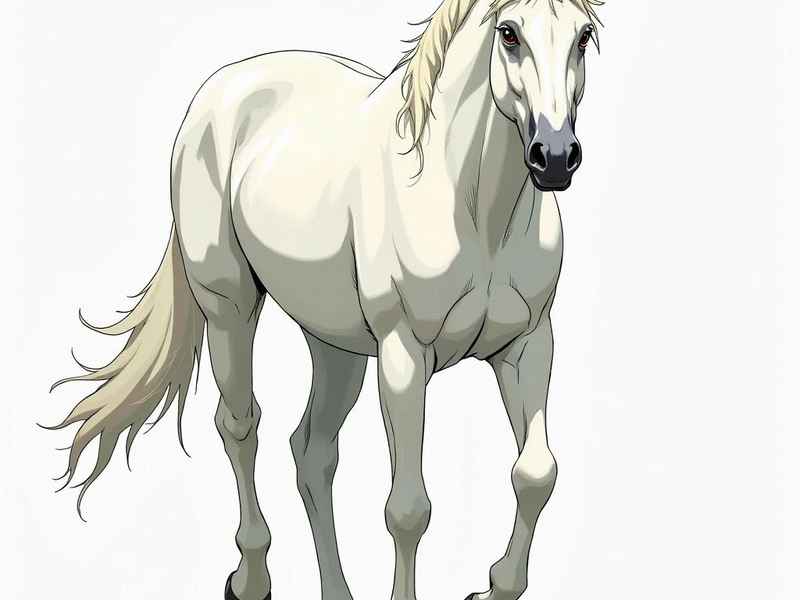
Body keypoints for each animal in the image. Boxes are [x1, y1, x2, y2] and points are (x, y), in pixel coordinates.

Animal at [48, 1, 603, 599]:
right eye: (509, 33)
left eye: (583, 36)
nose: (554, 158)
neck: (471, 208)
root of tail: (216, 94)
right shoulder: (404, 357)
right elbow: (408, 509)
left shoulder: (528, 344)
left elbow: (536, 474)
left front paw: (493, 588)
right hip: (229, 310)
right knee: (240, 426)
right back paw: (251, 578)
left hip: (335, 346)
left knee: (312, 451)